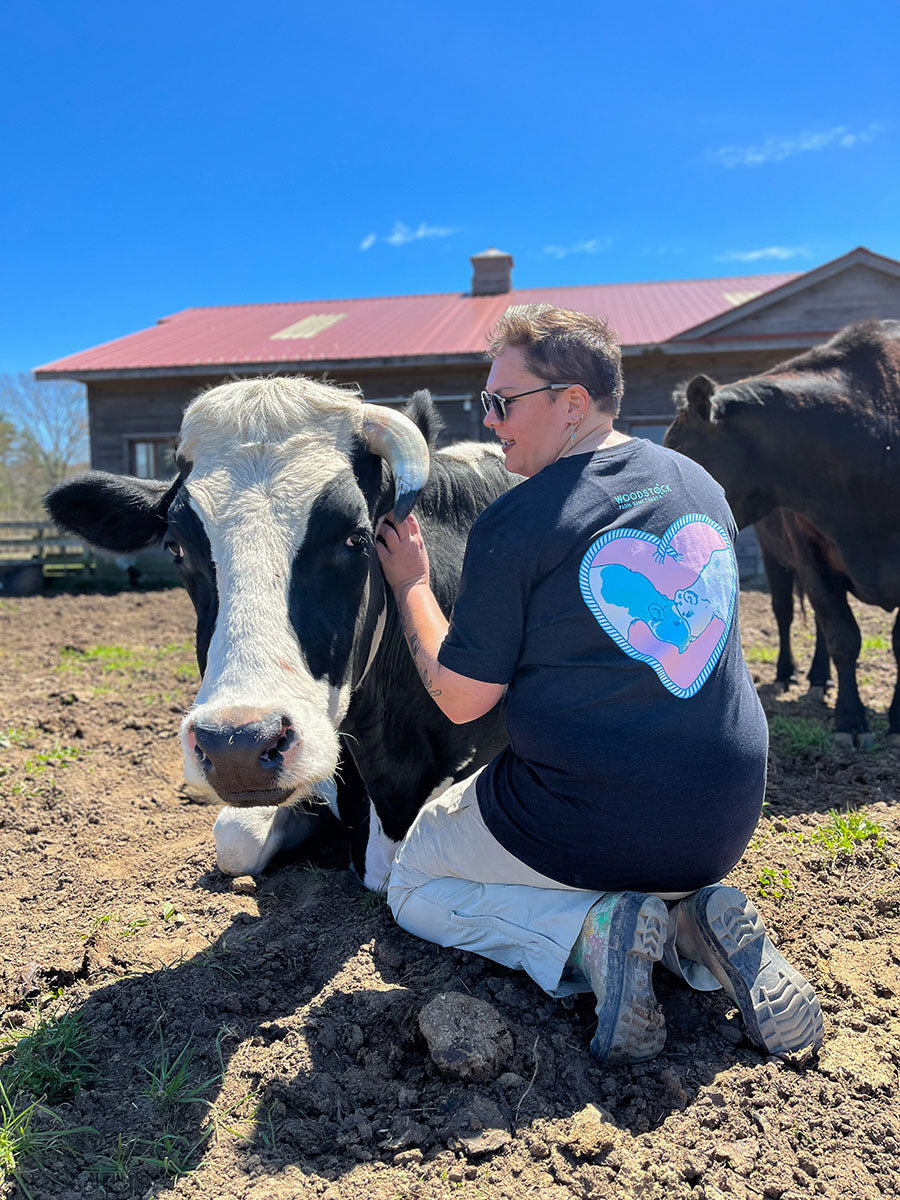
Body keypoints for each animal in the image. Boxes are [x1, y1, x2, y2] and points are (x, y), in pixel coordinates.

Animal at [662, 324, 900, 744]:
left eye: (677, 448)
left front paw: (897, 720)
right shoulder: (809, 555)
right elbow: (842, 636)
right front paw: (850, 720)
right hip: (775, 555)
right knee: (787, 613)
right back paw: (795, 674)